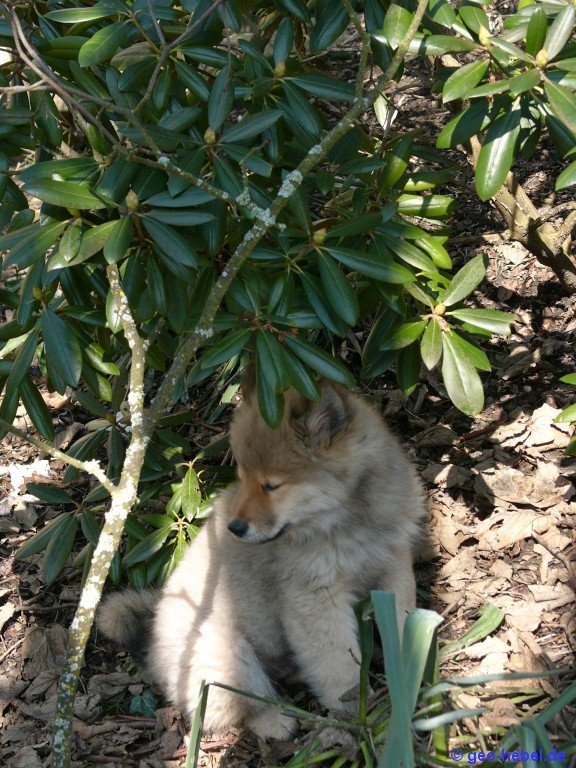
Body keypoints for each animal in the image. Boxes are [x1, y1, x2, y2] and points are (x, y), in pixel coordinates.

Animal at [97, 367, 426, 740]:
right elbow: (338, 664)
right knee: (237, 706)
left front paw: (409, 667)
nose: (234, 528)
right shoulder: (314, 598)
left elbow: (401, 619)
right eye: (242, 477)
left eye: (271, 486)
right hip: (227, 653)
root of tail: (153, 633)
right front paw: (358, 712)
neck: (346, 520)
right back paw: (277, 722)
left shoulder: (392, 566)